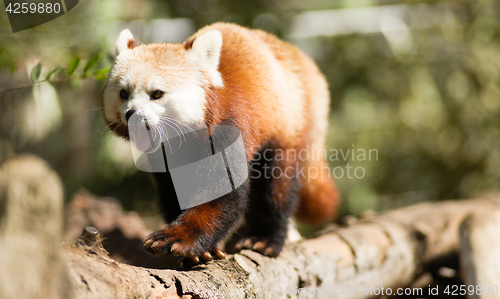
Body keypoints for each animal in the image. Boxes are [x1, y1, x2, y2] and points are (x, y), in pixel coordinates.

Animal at [100, 22, 340, 268]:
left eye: (156, 94)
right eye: (123, 93)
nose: (132, 115)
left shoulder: (229, 129)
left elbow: (223, 195)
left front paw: (177, 238)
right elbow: (173, 193)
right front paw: (200, 252)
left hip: (287, 125)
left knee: (277, 187)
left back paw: (265, 239)